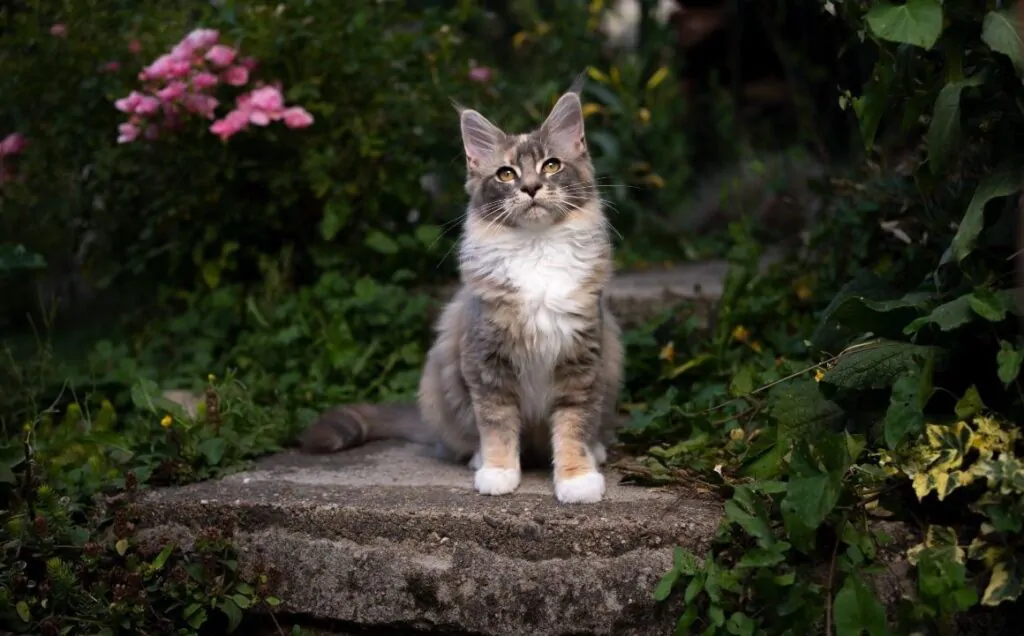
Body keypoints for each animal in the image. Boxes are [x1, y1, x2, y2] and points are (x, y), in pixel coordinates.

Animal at [296, 84, 622, 503]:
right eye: (506, 173)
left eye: (551, 165)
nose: (531, 188)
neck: (536, 247)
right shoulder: (486, 361)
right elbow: (497, 425)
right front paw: (499, 473)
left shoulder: (582, 359)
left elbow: (574, 426)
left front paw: (577, 479)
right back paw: (479, 459)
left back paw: (596, 452)